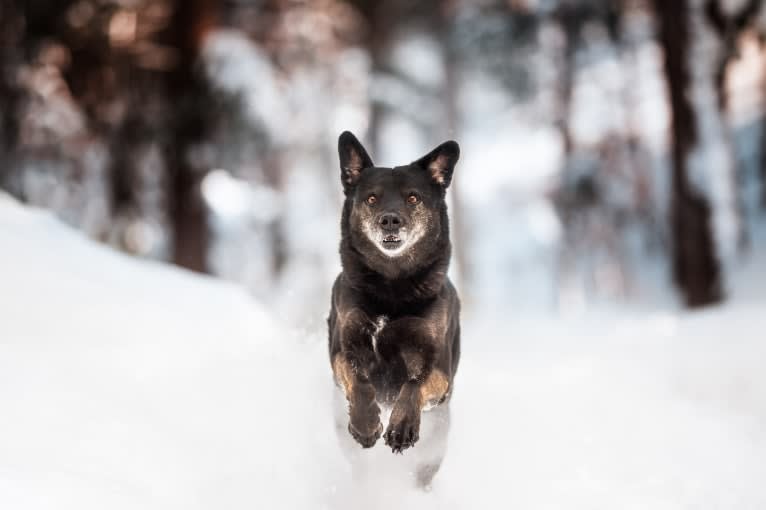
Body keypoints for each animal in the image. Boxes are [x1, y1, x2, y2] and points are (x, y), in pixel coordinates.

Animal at [328, 130, 462, 486]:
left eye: (413, 198)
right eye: (372, 199)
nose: (390, 220)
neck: (392, 288)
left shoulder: (438, 369)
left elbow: (413, 384)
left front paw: (401, 427)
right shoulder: (345, 347)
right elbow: (359, 379)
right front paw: (366, 423)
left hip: (436, 440)